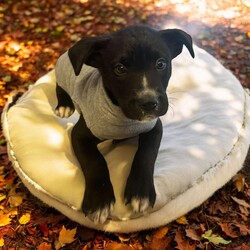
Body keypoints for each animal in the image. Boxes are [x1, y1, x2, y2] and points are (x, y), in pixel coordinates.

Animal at [54, 25, 195, 224]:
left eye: (161, 63)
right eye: (120, 69)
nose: (149, 103)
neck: (123, 118)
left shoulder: (154, 127)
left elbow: (146, 154)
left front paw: (140, 192)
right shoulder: (79, 135)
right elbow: (94, 161)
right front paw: (99, 201)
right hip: (62, 76)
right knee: (59, 88)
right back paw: (64, 106)